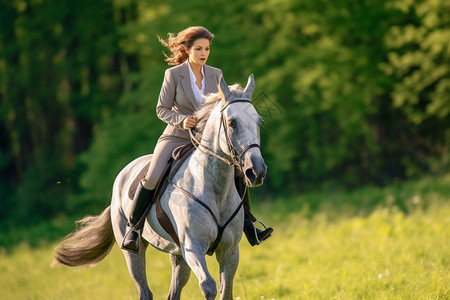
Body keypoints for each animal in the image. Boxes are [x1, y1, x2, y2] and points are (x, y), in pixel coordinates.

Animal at [52, 75, 266, 300]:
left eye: (259, 121)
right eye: (232, 123)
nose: (257, 170)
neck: (214, 189)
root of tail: (122, 177)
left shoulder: (229, 251)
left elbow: (226, 292)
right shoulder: (194, 248)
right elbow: (209, 286)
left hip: (178, 254)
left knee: (173, 292)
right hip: (134, 252)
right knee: (144, 290)